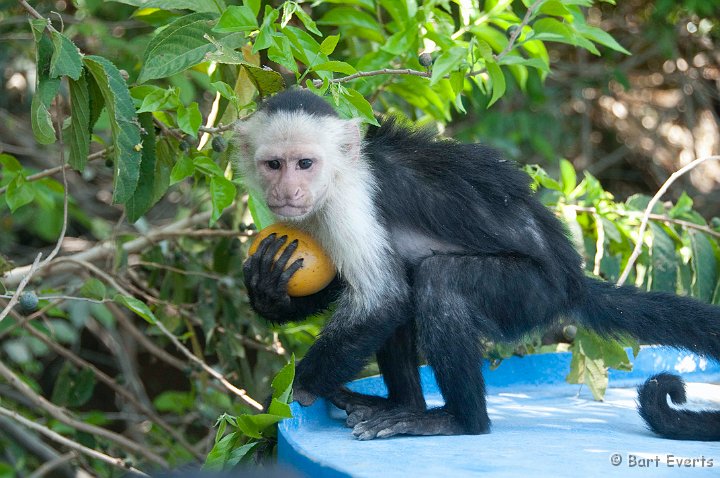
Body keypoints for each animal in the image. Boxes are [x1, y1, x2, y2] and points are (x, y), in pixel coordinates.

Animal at [238, 88, 720, 440]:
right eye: (274, 164)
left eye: (305, 163)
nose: (288, 191)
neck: (341, 171)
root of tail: (571, 279)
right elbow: (362, 290)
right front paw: (267, 290)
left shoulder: (348, 200)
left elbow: (381, 298)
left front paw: (294, 389)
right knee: (410, 282)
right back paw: (405, 406)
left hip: (531, 292)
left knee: (437, 282)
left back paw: (457, 420)